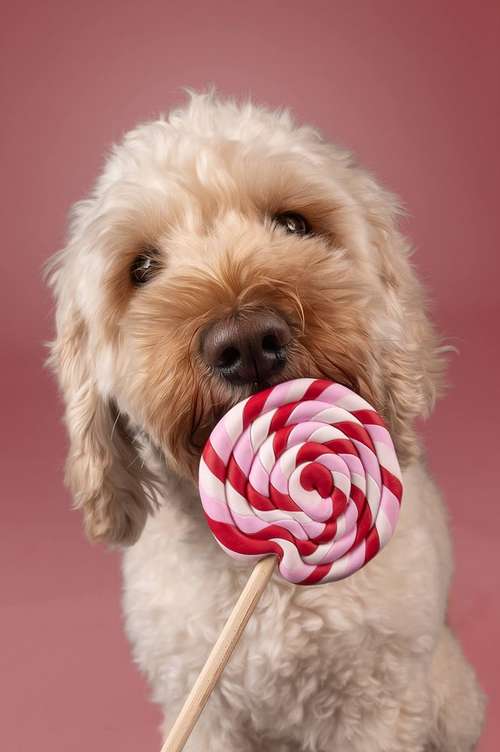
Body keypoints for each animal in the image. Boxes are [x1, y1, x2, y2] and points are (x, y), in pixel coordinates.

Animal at [47, 91, 484, 748]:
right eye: (142, 267)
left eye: (295, 224)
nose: (247, 341)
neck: (268, 570)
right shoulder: (204, 711)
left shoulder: (377, 706)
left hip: (454, 703)